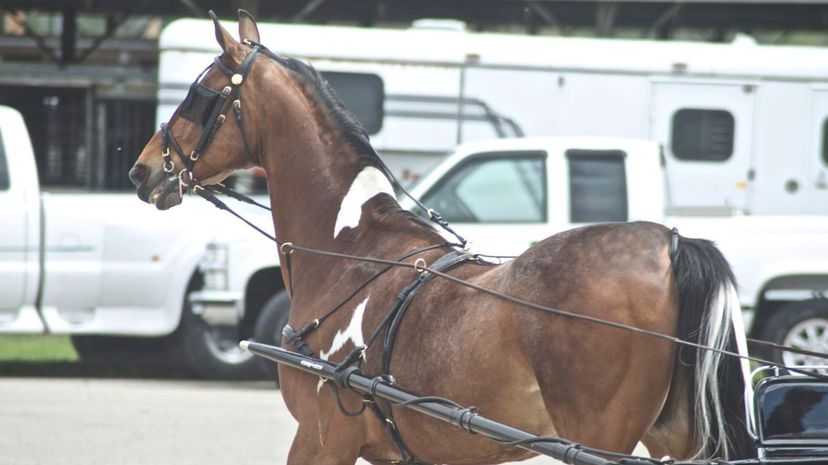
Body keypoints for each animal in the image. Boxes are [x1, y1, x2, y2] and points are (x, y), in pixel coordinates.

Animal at [129, 11, 756, 464]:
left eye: (200, 94)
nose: (142, 170)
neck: (348, 250)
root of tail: (670, 242)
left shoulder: (322, 436)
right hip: (675, 435)